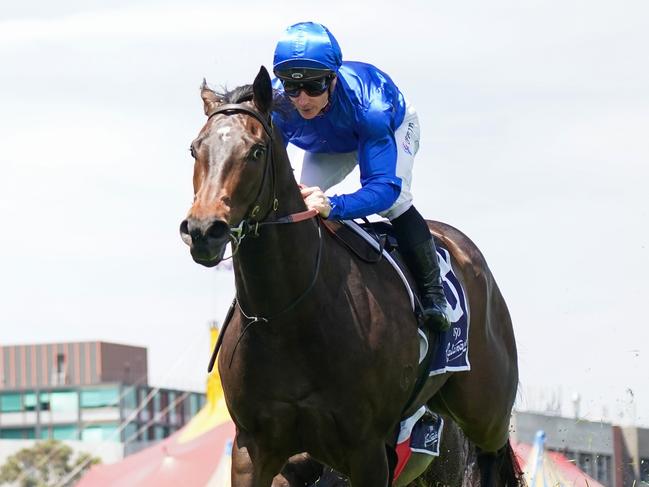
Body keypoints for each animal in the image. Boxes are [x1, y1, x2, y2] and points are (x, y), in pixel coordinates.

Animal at [178, 66, 520, 487]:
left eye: (255, 151)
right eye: (195, 149)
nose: (204, 230)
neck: (288, 316)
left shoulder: (365, 450)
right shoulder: (253, 448)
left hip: (484, 414)